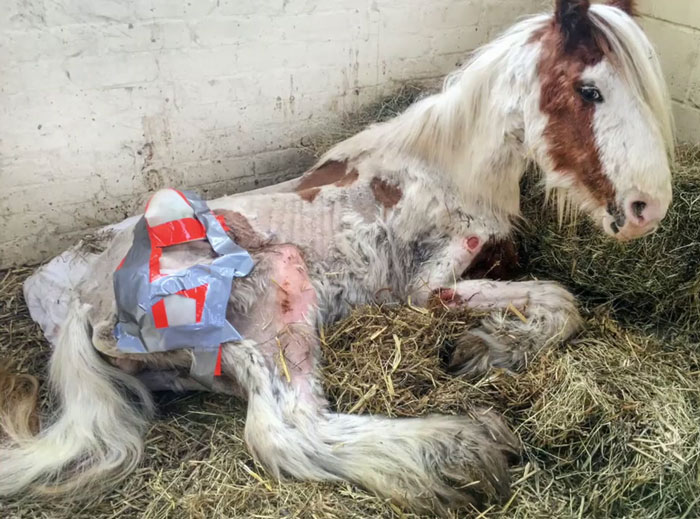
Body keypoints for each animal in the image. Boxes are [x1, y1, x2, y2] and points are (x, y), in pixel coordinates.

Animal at [0, 0, 673, 514]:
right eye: (589, 90)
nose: (650, 207)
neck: (445, 168)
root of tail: (89, 304)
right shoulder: (424, 286)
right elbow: (555, 296)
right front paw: (488, 347)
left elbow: (556, 298)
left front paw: (488, 347)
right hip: (278, 297)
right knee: (289, 430)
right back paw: (460, 450)